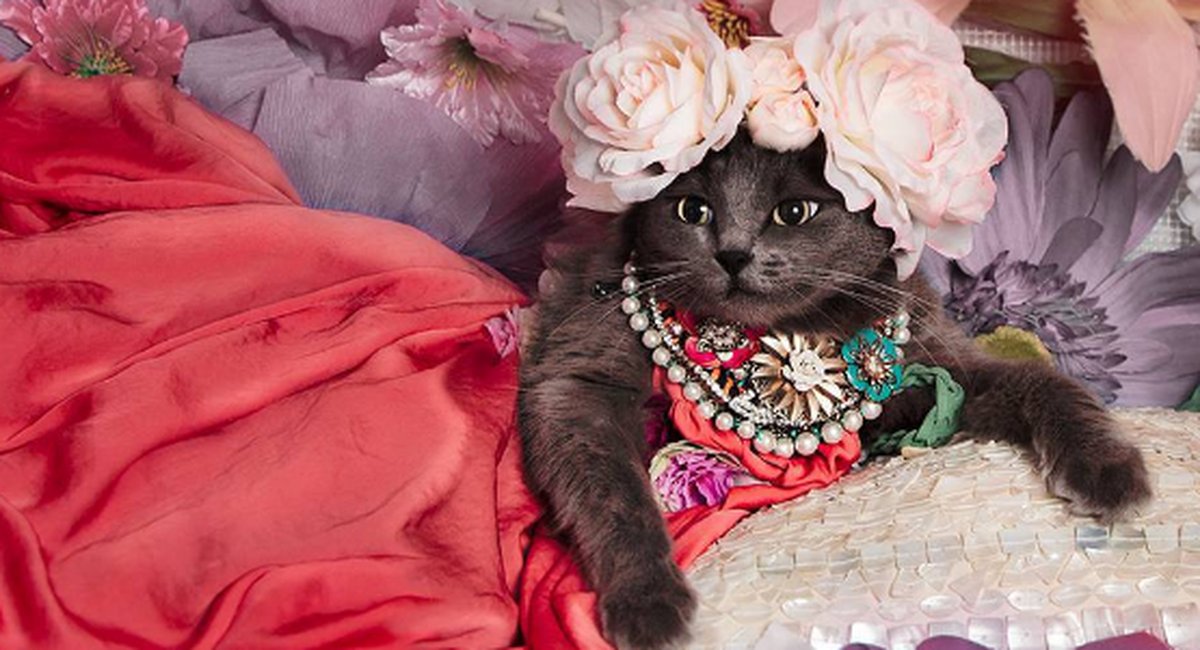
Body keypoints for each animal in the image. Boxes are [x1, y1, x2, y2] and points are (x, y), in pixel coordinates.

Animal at [518, 131, 1151, 650]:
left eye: (793, 212)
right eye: (691, 209)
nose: (732, 253)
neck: (787, 332)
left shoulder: (933, 367)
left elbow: (1043, 381)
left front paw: (1109, 468)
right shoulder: (581, 374)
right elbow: (613, 492)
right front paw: (648, 600)